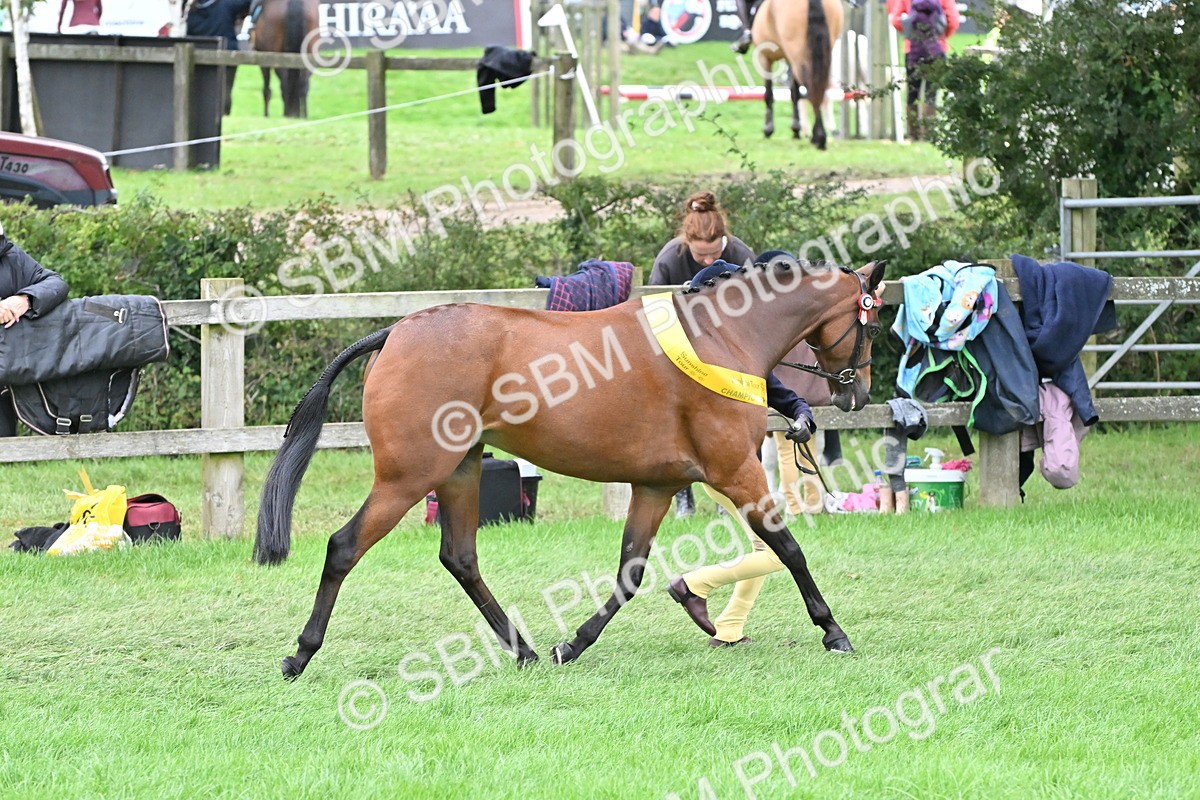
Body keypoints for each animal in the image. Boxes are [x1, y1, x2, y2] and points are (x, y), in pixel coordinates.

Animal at [254, 259, 886, 679]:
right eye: (874, 326)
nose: (856, 394)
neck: (721, 334)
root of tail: (397, 330)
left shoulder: (657, 485)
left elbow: (630, 573)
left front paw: (574, 645)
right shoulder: (734, 472)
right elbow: (789, 548)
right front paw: (833, 631)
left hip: (459, 470)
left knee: (460, 557)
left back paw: (526, 650)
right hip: (408, 477)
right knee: (344, 547)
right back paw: (300, 654)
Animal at [752, 0, 844, 149]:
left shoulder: (764, 57)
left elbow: (769, 94)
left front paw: (768, 129)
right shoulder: (790, 60)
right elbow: (795, 94)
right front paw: (796, 130)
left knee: (812, 88)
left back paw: (819, 137)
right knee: (820, 88)